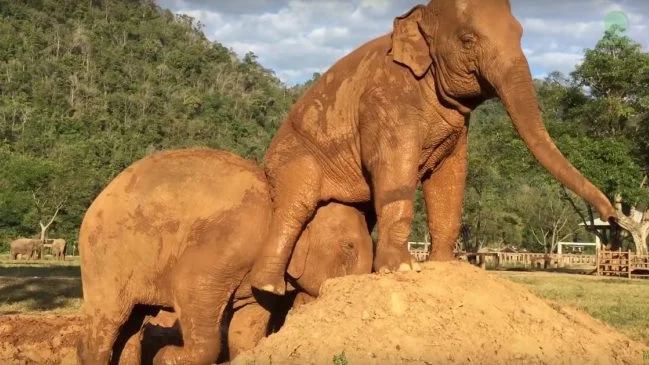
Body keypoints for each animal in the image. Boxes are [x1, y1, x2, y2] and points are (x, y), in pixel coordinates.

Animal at [76, 148, 372, 364]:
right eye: (349, 247)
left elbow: (248, 328)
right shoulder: (227, 240)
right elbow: (190, 291)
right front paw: (164, 357)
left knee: (131, 326)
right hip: (104, 259)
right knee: (110, 322)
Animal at [249, 0, 616, 292]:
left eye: (521, 33)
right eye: (468, 40)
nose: (613, 218)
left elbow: (450, 175)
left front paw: (444, 265)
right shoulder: (387, 97)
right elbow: (395, 169)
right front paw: (402, 268)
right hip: (292, 158)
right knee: (298, 200)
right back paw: (268, 287)